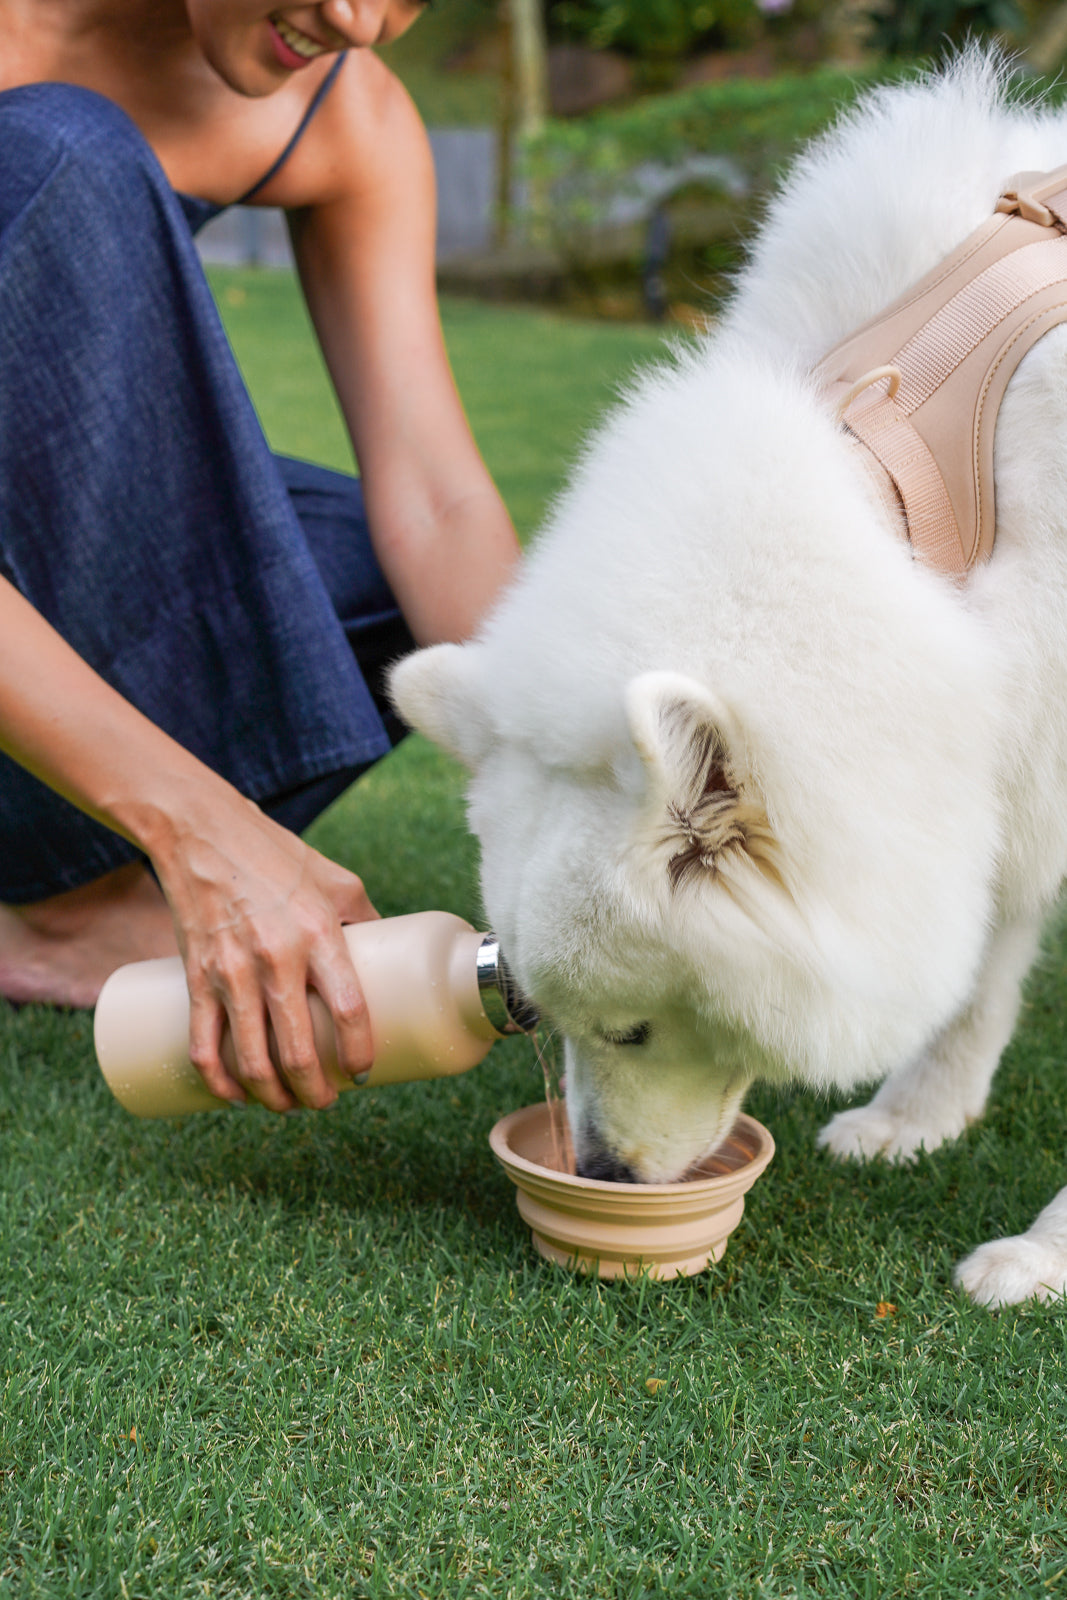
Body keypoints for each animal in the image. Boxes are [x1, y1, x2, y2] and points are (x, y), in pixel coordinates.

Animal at [391, 53, 1067, 1312]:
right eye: (536, 1015)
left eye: (636, 1031)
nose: (601, 1175)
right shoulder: (998, 751)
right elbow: (979, 956)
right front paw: (919, 1114)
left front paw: (1045, 1251)